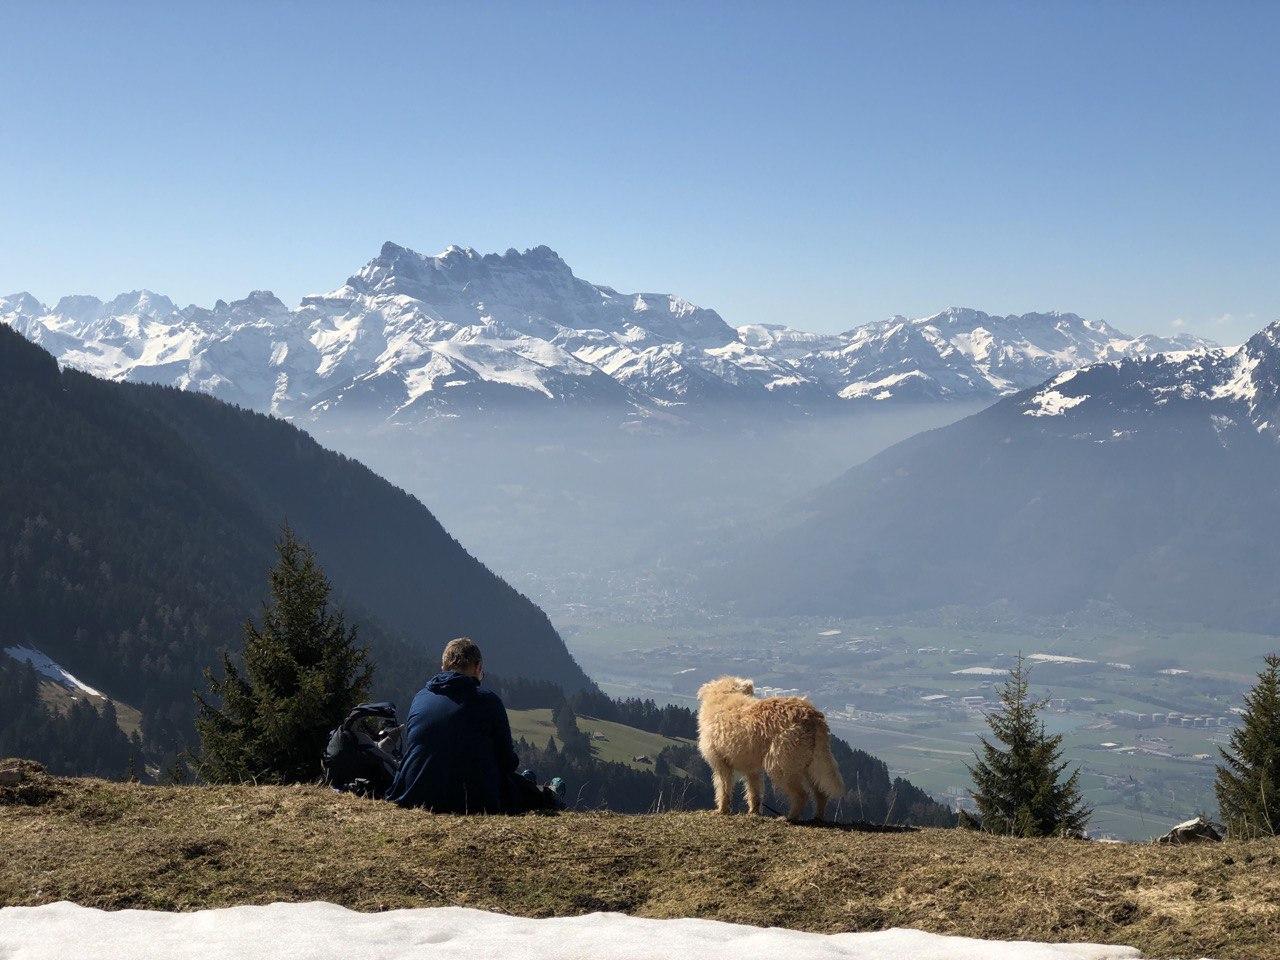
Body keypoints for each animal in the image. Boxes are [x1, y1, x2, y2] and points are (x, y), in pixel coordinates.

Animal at [696, 675, 844, 819]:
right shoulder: (752, 769)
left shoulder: (721, 765)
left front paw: (722, 809)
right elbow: (754, 791)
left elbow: (724, 789)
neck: (725, 695)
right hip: (809, 766)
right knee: (820, 793)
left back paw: (790, 817)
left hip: (780, 767)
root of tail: (811, 715)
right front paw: (754, 811)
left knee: (801, 795)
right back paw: (817, 816)